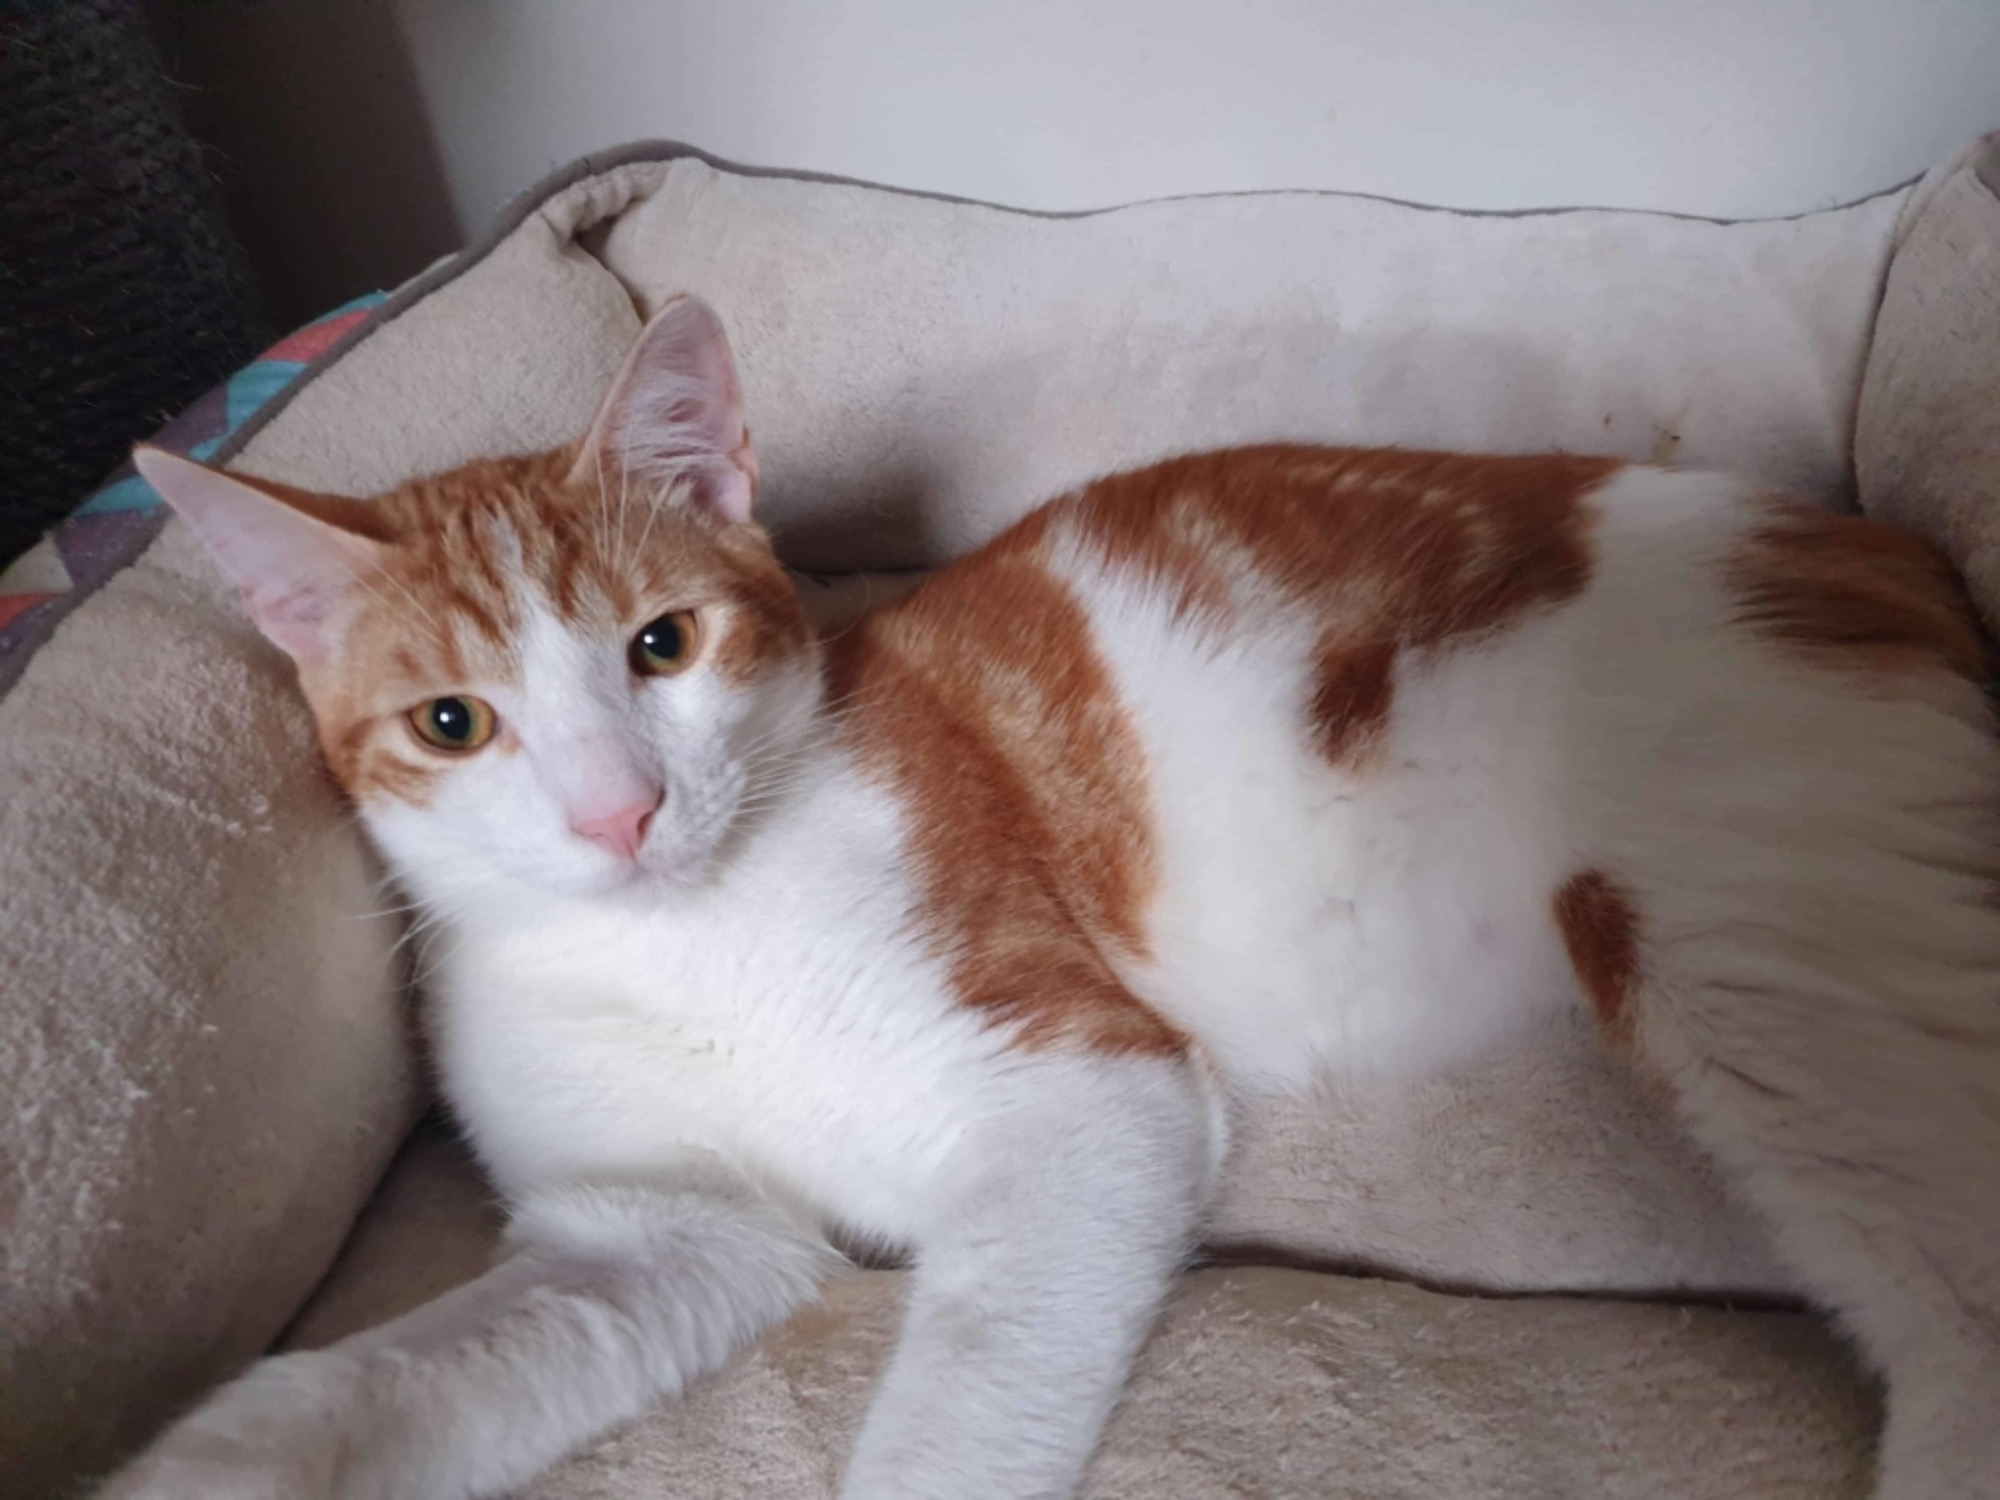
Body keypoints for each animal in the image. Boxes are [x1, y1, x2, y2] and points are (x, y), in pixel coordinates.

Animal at [113, 294, 2000, 1500]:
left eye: (663, 645)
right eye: (454, 724)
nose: (622, 811)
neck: (694, 941)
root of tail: (1863, 539)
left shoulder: (1086, 1082)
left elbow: (961, 1400)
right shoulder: (661, 1233)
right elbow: (365, 1393)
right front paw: (197, 1463)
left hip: (1751, 943)